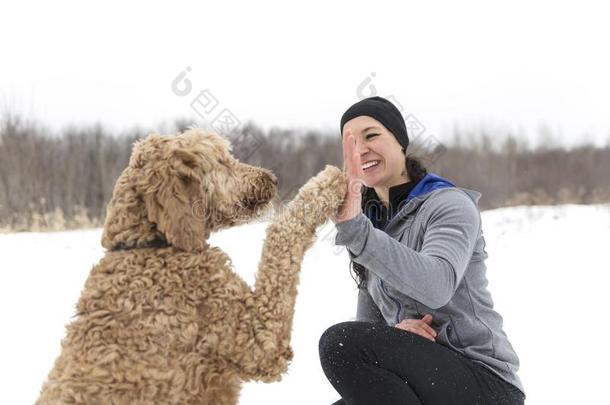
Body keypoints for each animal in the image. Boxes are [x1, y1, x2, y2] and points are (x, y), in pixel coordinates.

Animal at [35, 128, 344, 402]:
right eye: (222, 160)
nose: (273, 178)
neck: (152, 245)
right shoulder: (258, 338)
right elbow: (281, 233)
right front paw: (328, 184)